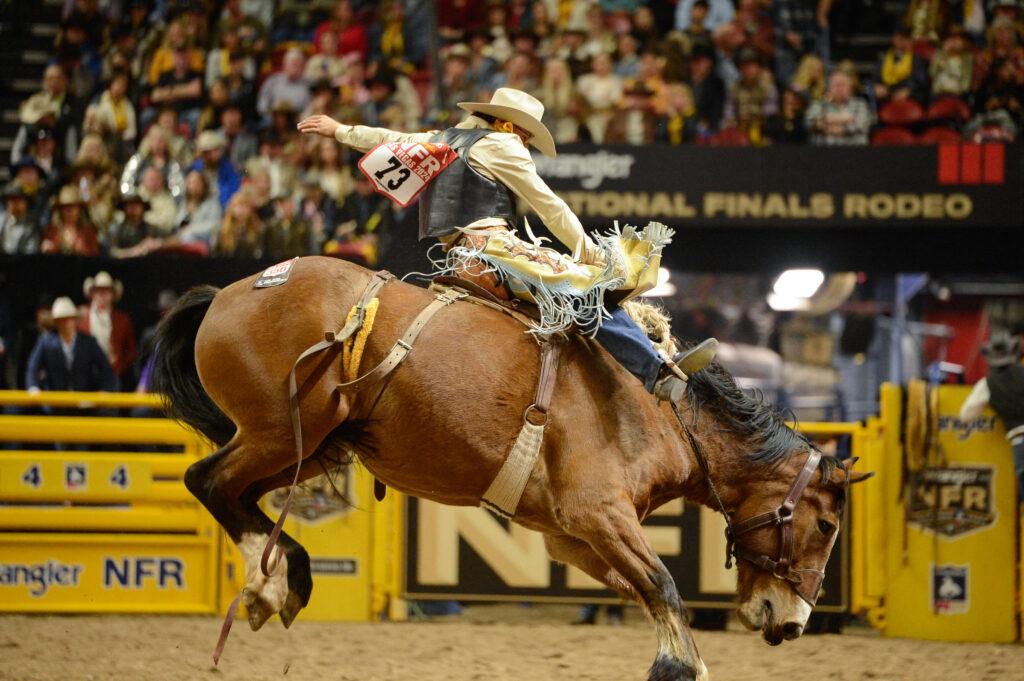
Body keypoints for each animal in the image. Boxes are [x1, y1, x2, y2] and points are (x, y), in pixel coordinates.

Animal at [153, 255, 870, 681]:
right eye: (828, 526)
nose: (793, 621)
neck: (663, 411)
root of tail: (232, 291)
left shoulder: (569, 534)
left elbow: (643, 588)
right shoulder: (598, 512)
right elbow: (664, 585)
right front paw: (678, 666)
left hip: (307, 446)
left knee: (235, 494)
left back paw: (284, 578)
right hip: (277, 434)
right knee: (206, 481)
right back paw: (272, 582)